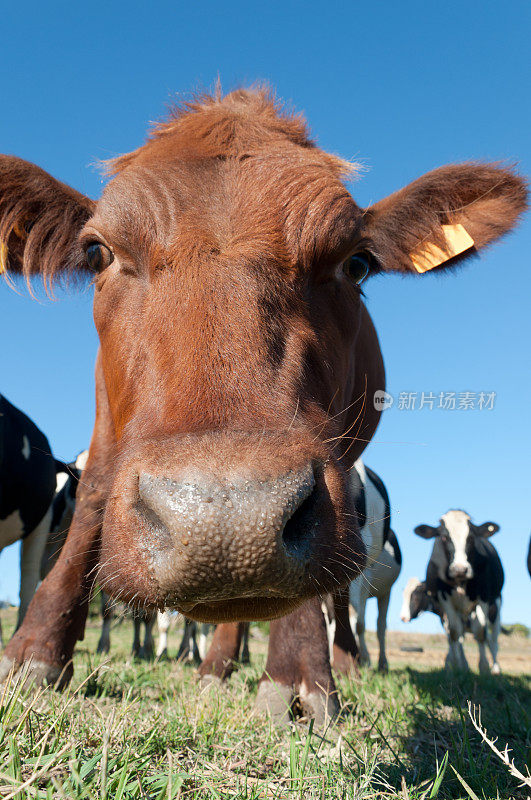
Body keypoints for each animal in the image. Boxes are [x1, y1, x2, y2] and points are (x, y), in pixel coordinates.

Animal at [414, 510, 504, 672]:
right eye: (444, 537)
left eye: (471, 538)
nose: (460, 569)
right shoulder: (445, 599)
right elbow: (455, 632)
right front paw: (456, 666)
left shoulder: (483, 597)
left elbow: (480, 632)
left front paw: (484, 667)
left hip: (495, 607)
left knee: (492, 640)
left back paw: (495, 669)